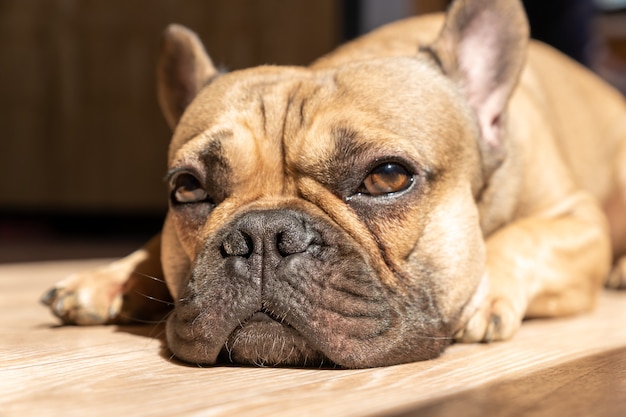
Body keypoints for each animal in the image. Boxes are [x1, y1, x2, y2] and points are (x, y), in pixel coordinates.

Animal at [41, 0, 624, 366]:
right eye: (187, 189)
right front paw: (107, 278)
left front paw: (485, 291)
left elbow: (525, 237)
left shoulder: (579, 220)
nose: (262, 235)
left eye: (387, 177)